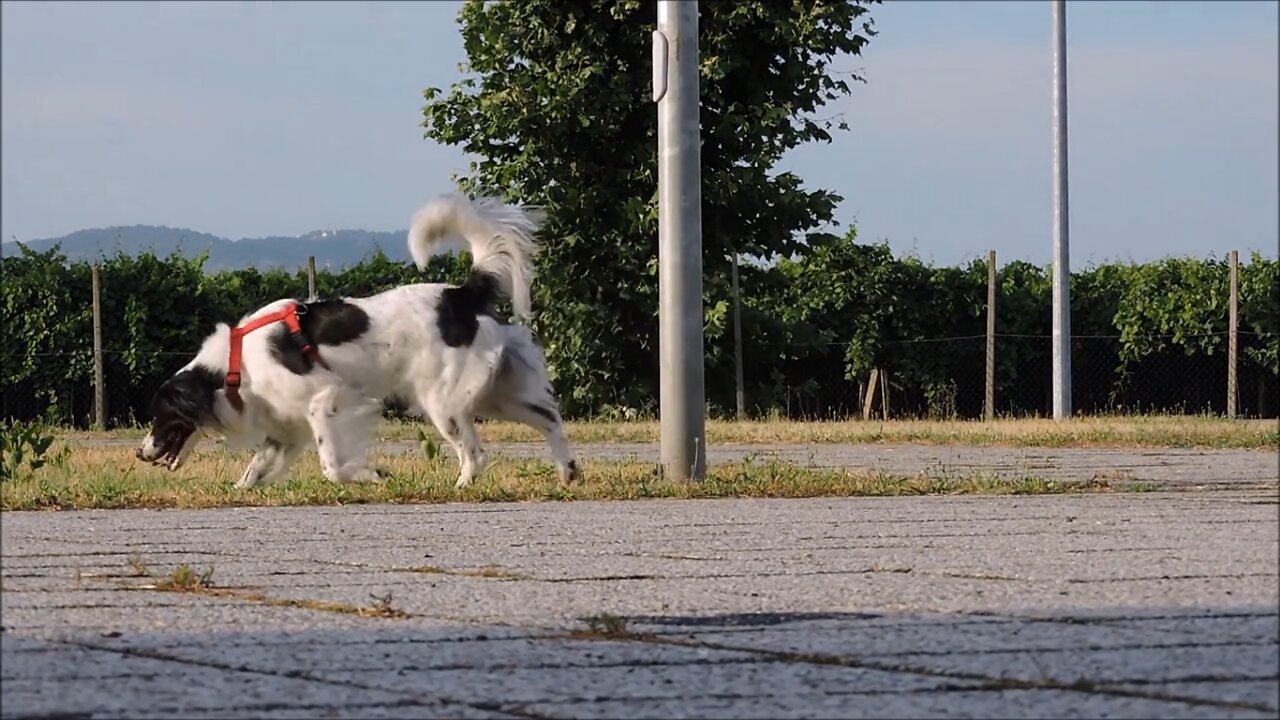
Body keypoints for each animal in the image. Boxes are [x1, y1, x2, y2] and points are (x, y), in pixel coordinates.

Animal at [133, 192, 581, 486]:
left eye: (160, 415)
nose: (139, 452)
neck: (236, 363)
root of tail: (461, 294)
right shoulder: (285, 427)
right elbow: (253, 471)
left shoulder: (327, 400)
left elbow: (332, 466)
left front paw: (371, 473)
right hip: (493, 394)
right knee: (550, 419)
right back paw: (568, 472)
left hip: (444, 402)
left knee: (475, 454)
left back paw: (459, 488)